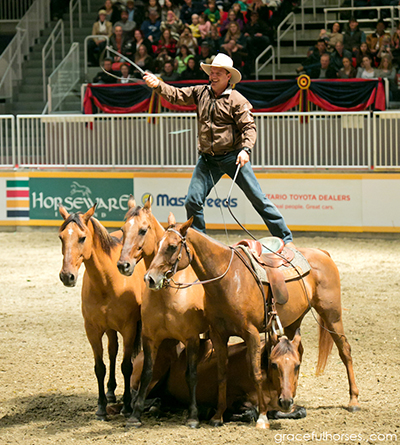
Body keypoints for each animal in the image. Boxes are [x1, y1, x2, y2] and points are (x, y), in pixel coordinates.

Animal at [57, 205, 147, 420]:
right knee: (112, 351)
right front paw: (101, 407)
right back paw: (111, 392)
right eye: (61, 237)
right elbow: (100, 367)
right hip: (109, 328)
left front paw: (127, 406)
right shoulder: (93, 330)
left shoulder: (129, 329)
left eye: (82, 238)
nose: (67, 276)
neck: (107, 281)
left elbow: (127, 366)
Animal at [115, 198, 208, 426]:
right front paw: (135, 414)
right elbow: (147, 373)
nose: (123, 265)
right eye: (122, 230)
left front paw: (193, 415)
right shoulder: (150, 338)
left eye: (143, 230)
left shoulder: (192, 338)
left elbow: (191, 374)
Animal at [143, 218, 360, 426]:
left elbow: (255, 373)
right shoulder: (219, 334)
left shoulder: (252, 333)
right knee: (299, 350)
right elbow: (222, 373)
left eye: (172, 246)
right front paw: (218, 416)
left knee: (345, 350)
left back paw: (353, 400)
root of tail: (322, 252)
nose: (150, 278)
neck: (228, 278)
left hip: (332, 315)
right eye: (158, 243)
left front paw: (262, 416)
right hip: (293, 322)